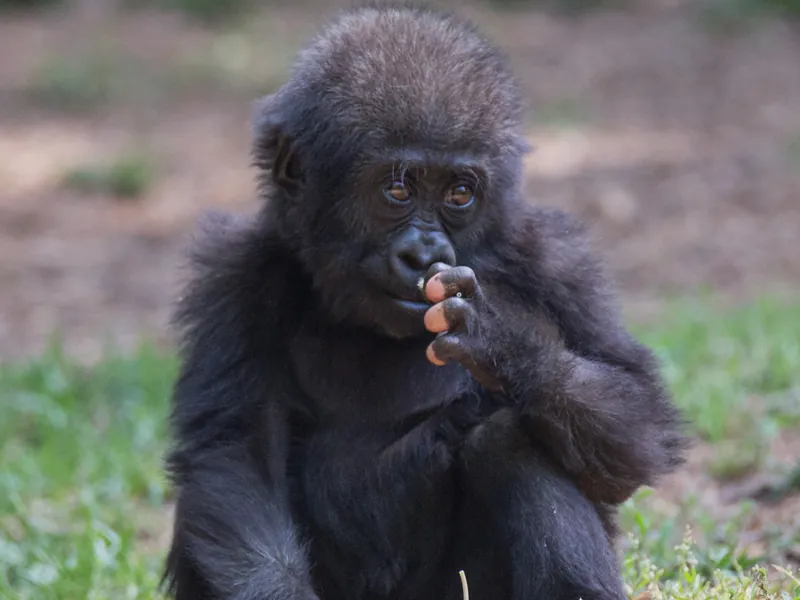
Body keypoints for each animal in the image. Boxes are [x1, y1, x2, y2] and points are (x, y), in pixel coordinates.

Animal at [162, 5, 687, 600]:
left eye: (459, 193)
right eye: (397, 189)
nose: (425, 253)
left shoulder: (558, 260)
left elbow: (638, 429)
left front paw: (505, 343)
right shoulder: (234, 275)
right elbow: (236, 454)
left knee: (510, 438)